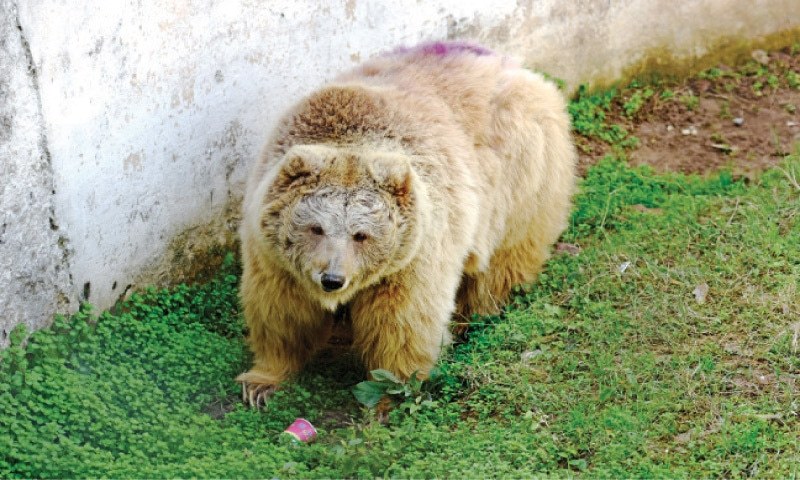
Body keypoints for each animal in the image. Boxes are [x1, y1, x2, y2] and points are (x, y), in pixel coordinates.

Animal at [236, 42, 576, 408]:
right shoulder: (272, 255)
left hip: (518, 175)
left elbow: (403, 322)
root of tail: (519, 68)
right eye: (316, 228)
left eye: (361, 235)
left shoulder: (414, 254)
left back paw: (478, 313)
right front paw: (261, 382)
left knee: (504, 259)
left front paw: (392, 393)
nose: (332, 279)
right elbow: (281, 313)